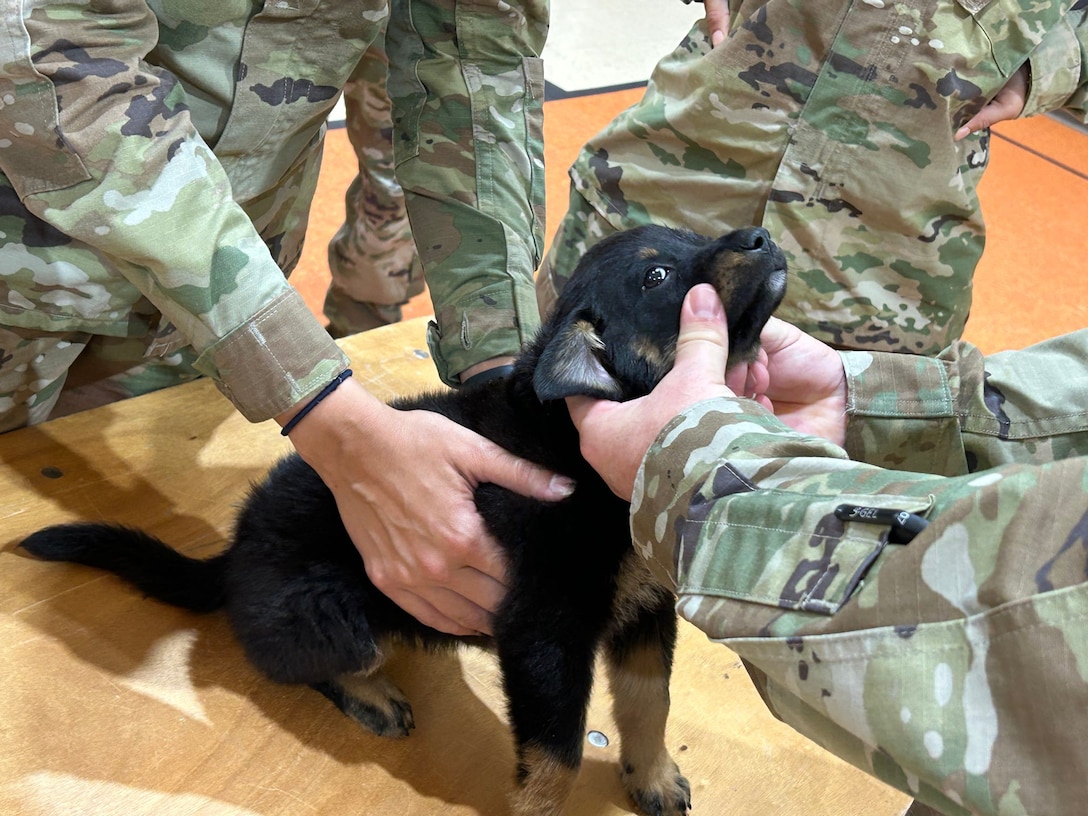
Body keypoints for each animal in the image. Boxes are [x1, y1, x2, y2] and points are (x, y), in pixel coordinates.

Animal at [21, 225, 787, 816]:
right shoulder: (544, 632)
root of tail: (233, 553)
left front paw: (650, 777)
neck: (582, 453)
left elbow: (648, 703)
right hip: (342, 614)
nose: (762, 236)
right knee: (299, 661)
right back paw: (371, 695)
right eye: (658, 276)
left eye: (688, 235)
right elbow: (556, 757)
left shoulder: (645, 612)